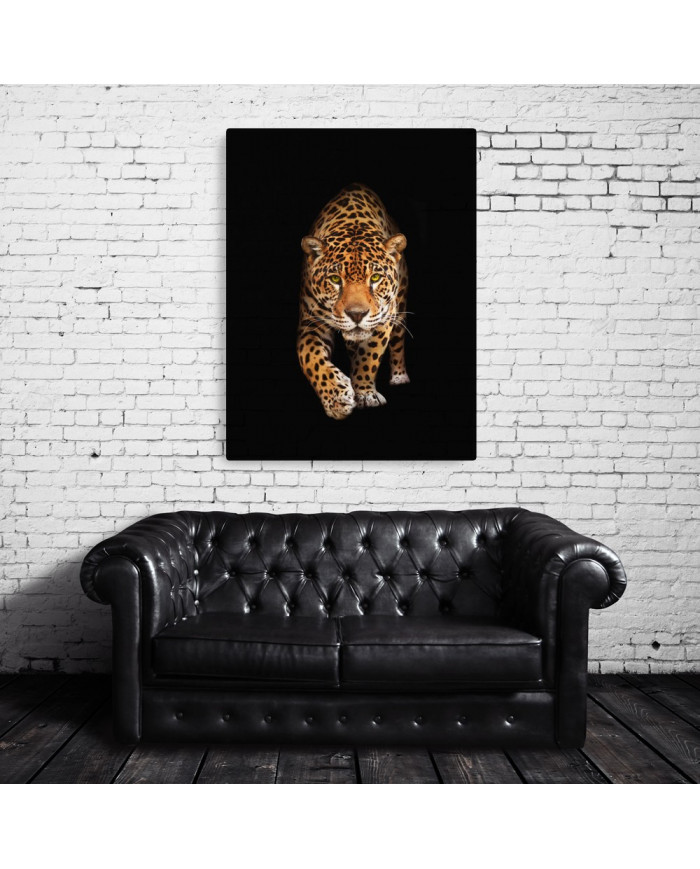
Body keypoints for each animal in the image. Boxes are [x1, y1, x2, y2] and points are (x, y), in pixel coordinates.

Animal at [297, 182, 410, 420]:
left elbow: (369, 356)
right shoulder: (311, 323)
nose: (356, 314)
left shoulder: (384, 318)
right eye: (334, 279)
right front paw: (337, 399)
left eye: (375, 278)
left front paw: (365, 393)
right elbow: (311, 358)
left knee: (398, 341)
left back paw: (399, 376)